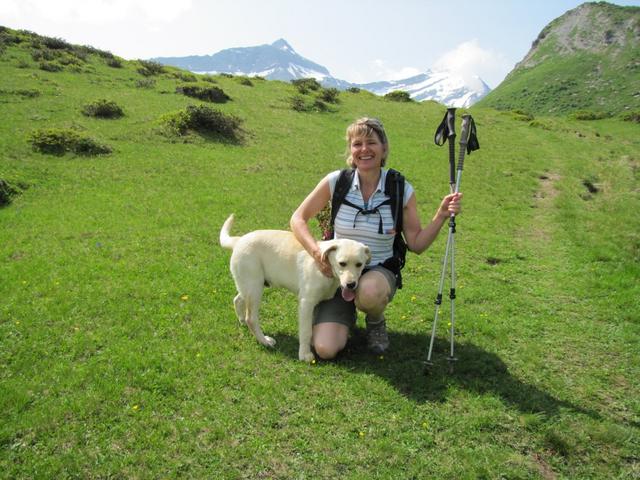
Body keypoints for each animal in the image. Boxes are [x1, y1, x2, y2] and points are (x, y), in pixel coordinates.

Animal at [220, 216, 370, 362]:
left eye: (359, 264)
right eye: (342, 263)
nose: (351, 284)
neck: (326, 269)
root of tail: (239, 241)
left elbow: (311, 327)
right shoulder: (306, 303)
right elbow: (306, 330)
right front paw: (304, 354)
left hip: (249, 286)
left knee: (237, 299)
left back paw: (242, 321)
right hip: (254, 288)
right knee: (251, 318)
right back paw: (264, 341)